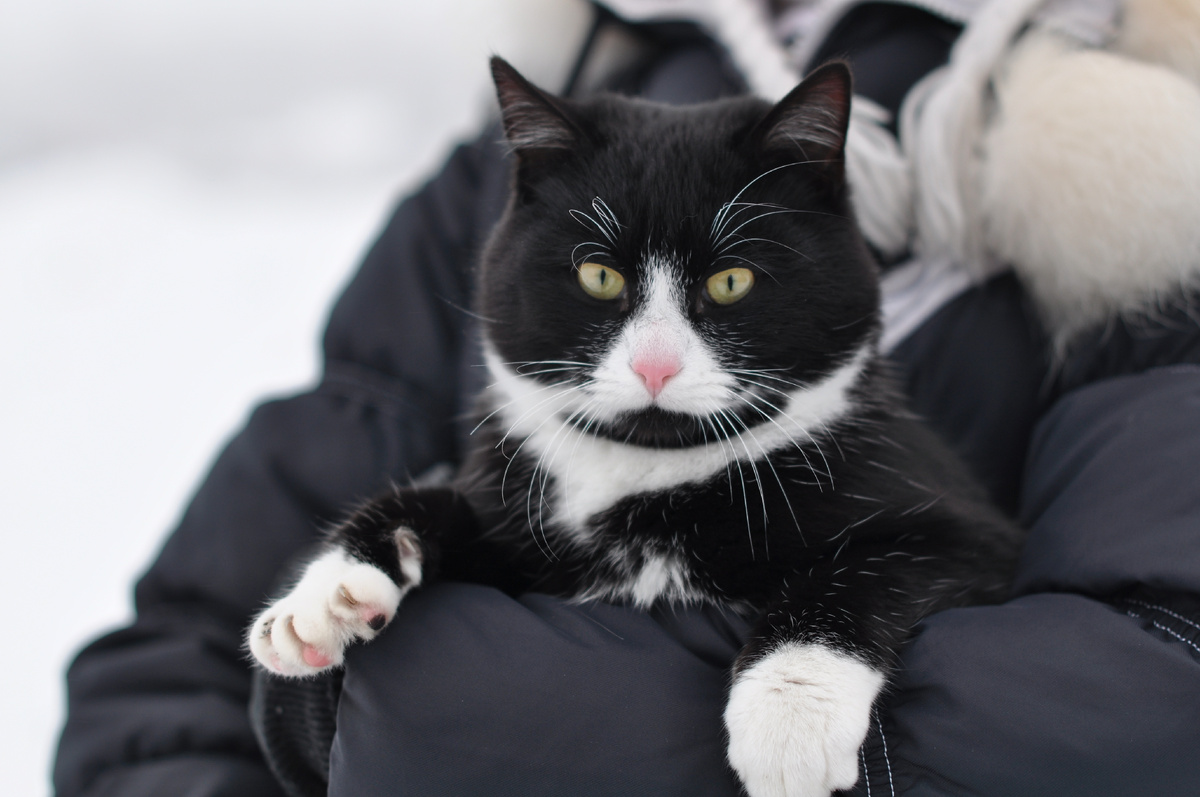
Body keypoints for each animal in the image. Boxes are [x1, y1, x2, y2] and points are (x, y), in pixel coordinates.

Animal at [246, 57, 1022, 797]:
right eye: (599, 277)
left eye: (731, 282)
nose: (654, 366)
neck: (650, 478)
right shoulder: (515, 526)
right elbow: (427, 502)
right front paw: (325, 598)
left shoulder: (966, 532)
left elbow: (859, 574)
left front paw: (789, 717)